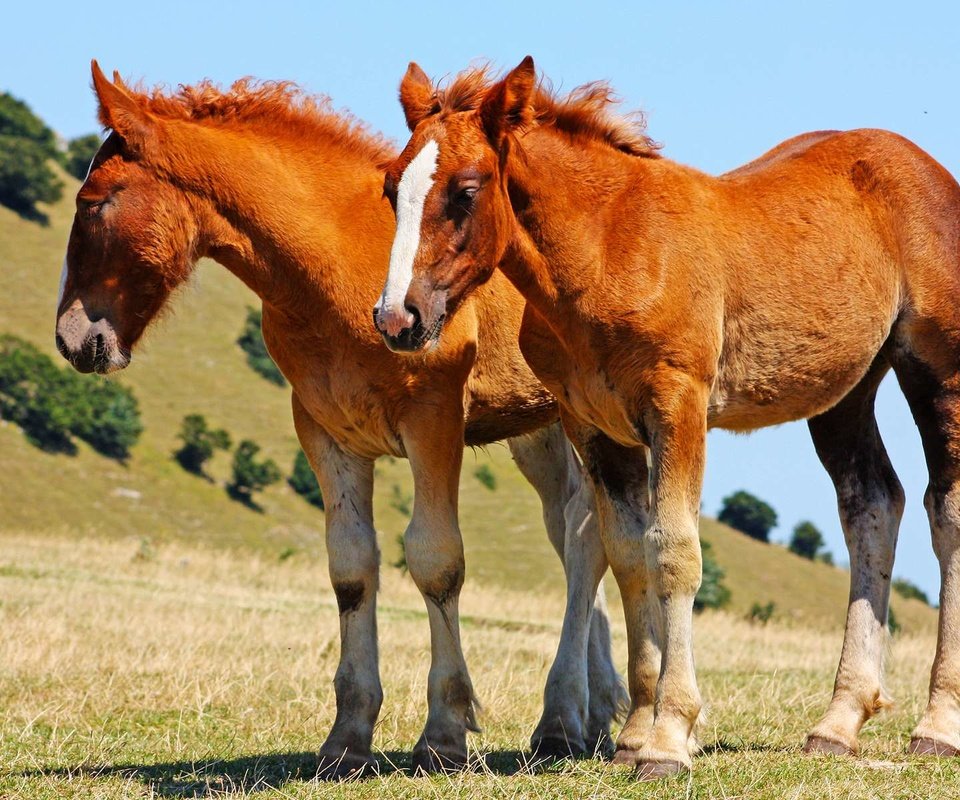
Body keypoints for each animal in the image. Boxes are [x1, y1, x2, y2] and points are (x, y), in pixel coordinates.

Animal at [54, 62, 632, 776]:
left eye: (93, 202)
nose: (71, 339)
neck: (334, 269)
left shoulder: (433, 419)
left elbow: (436, 560)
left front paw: (443, 733)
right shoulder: (325, 430)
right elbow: (351, 569)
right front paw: (347, 738)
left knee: (585, 537)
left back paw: (560, 720)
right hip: (540, 432)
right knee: (575, 526)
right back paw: (592, 714)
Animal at [376, 57, 960, 780]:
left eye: (465, 190)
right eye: (390, 187)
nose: (397, 318)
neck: (607, 250)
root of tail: (928, 168)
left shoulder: (677, 404)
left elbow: (674, 552)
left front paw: (669, 738)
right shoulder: (593, 425)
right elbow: (629, 554)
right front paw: (634, 730)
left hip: (936, 370)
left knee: (946, 513)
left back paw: (938, 726)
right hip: (843, 391)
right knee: (873, 505)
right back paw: (838, 723)